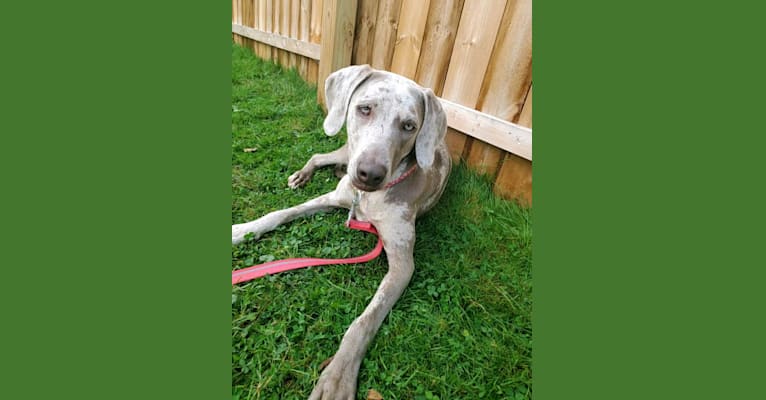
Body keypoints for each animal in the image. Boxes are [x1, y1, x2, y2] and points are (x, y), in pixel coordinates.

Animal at [231, 65, 452, 400]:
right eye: (365, 108)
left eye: (409, 126)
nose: (370, 174)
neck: (367, 200)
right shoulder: (333, 197)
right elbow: (279, 213)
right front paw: (242, 229)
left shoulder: (403, 264)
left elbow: (363, 322)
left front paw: (337, 377)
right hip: (347, 152)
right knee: (321, 156)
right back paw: (303, 174)